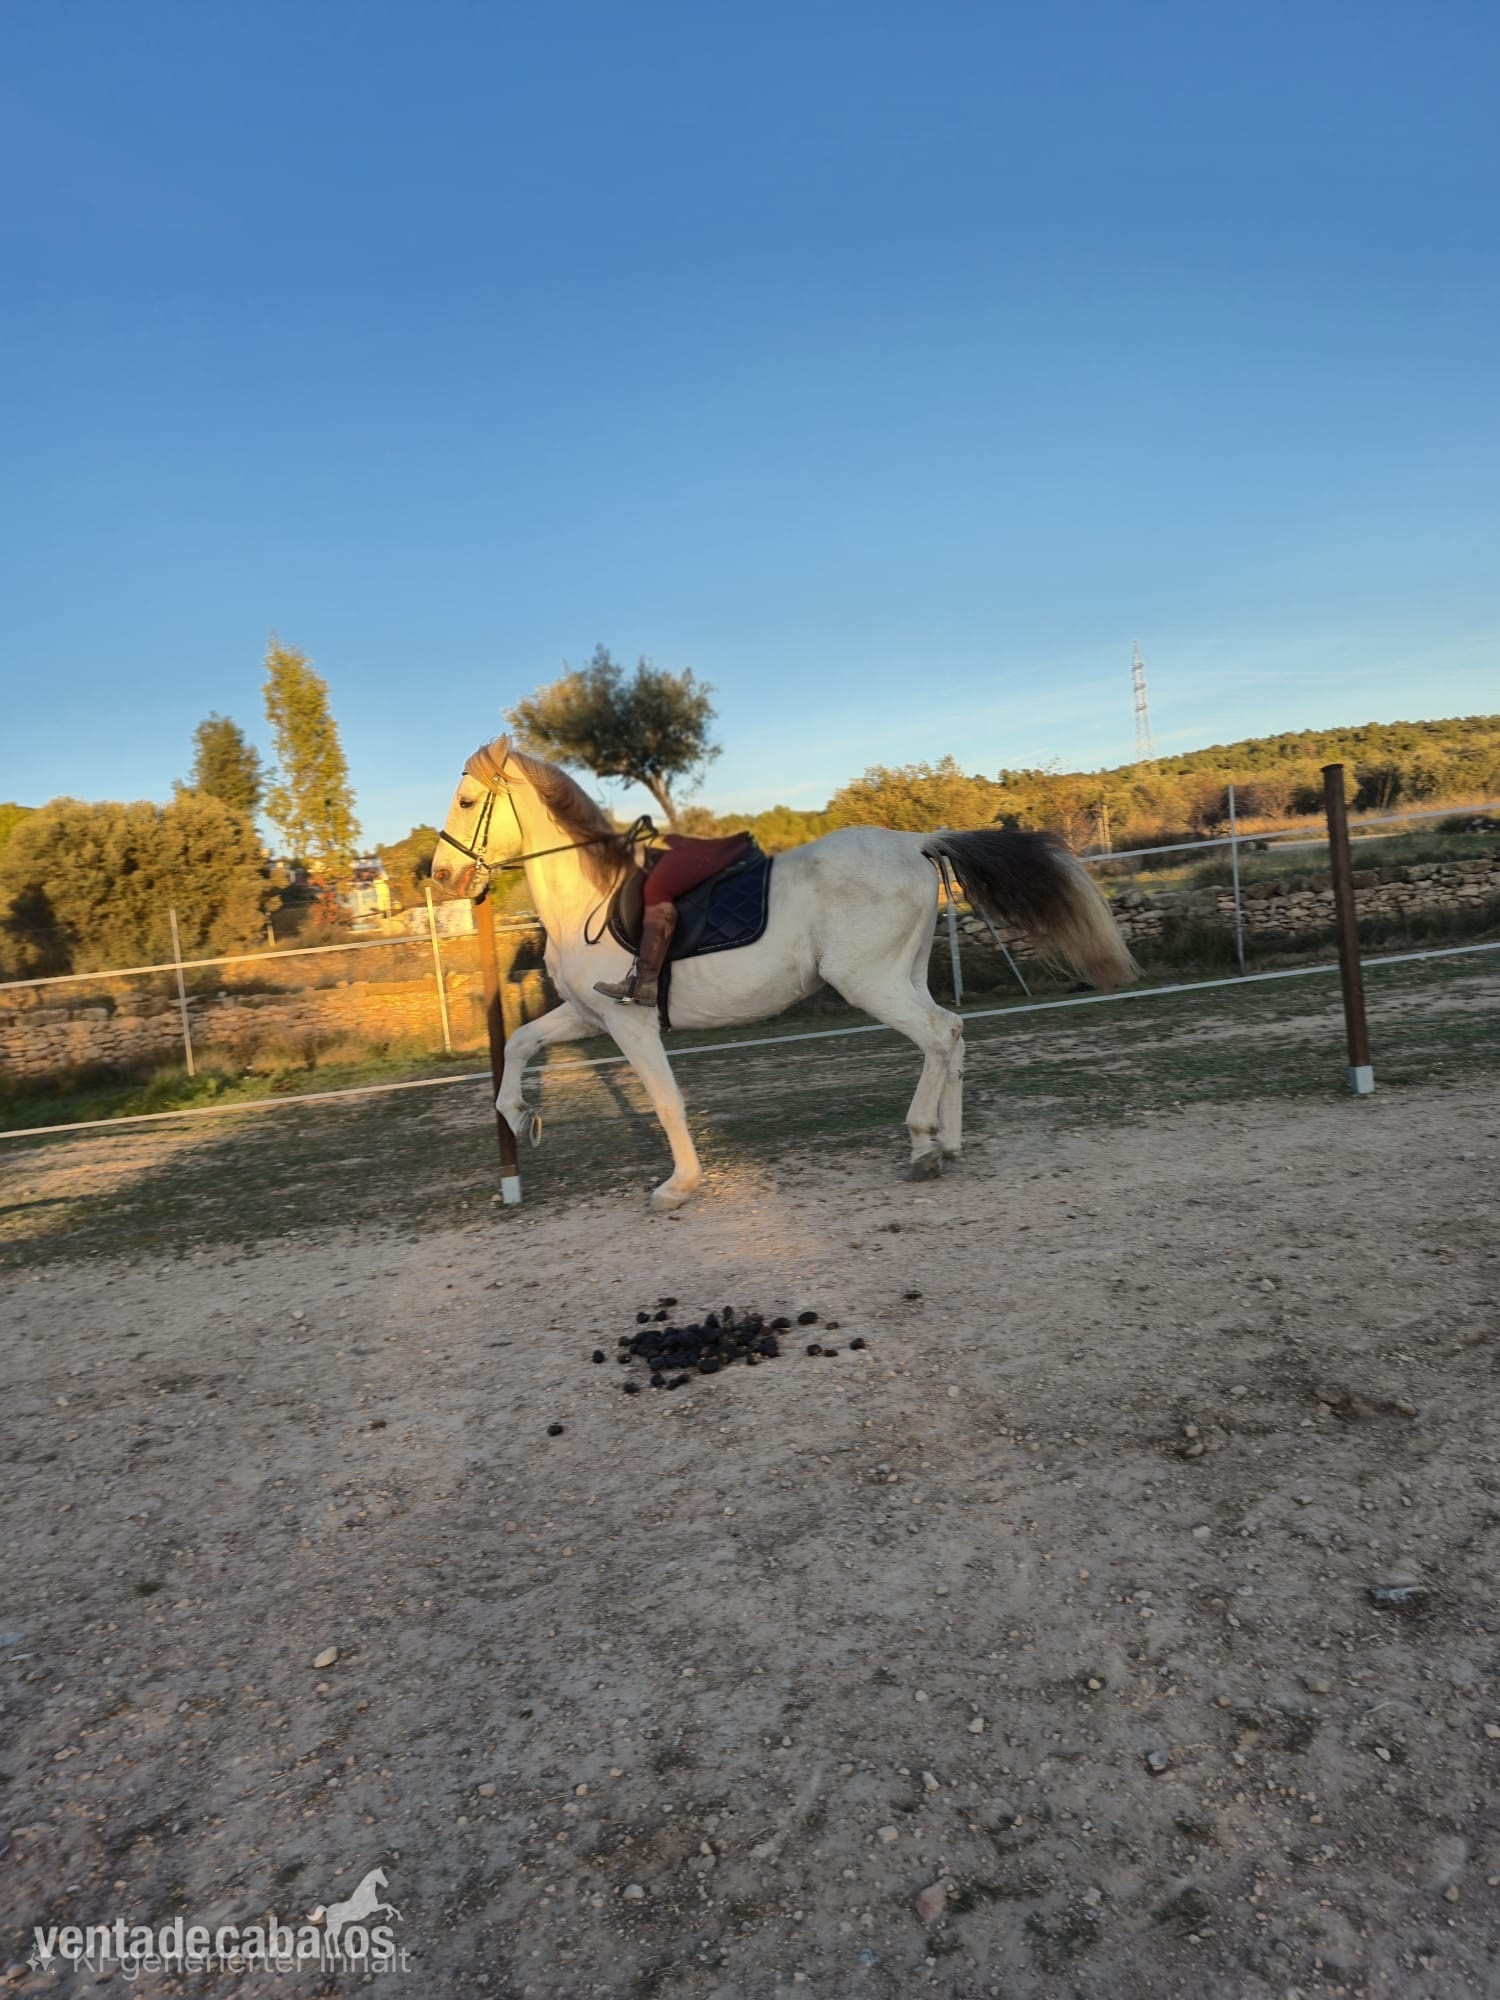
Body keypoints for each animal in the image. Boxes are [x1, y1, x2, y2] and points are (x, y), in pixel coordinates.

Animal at [432, 737, 1136, 1212]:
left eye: (466, 800)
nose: (440, 876)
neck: (593, 897)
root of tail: (914, 841)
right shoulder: (587, 1014)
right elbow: (519, 1045)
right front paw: (522, 1118)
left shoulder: (629, 1021)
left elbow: (665, 1101)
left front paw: (679, 1186)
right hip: (904, 976)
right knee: (953, 1031)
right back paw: (948, 1143)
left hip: (870, 982)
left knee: (938, 1036)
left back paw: (921, 1143)